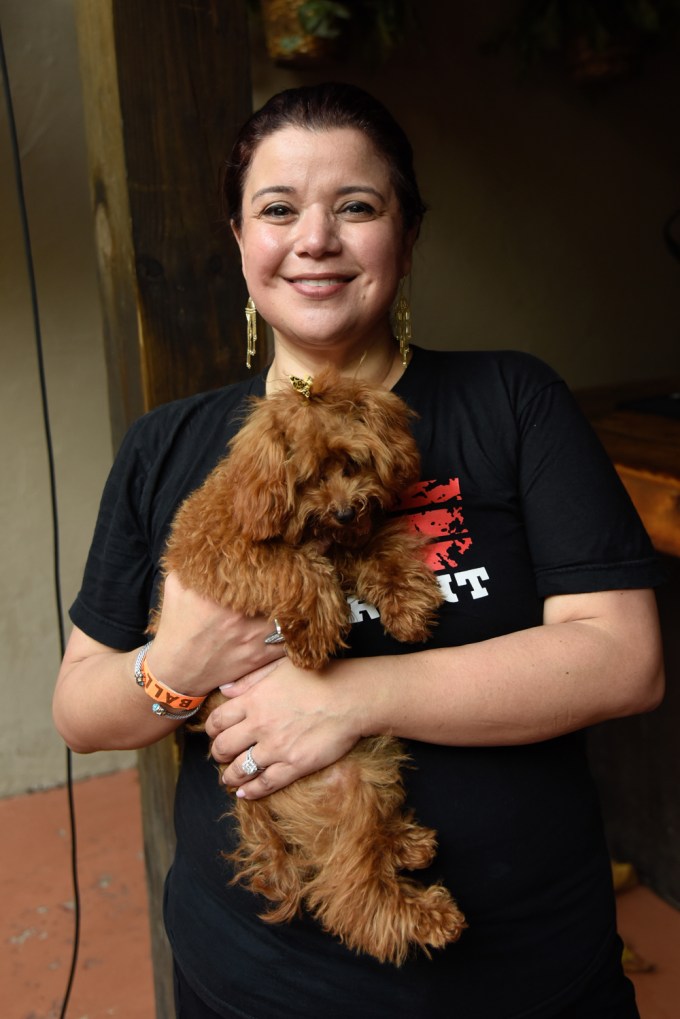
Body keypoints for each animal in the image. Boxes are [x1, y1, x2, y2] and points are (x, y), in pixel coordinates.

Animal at [160, 366, 468, 961]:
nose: (346, 509)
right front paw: (316, 633)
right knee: (353, 895)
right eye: (306, 479)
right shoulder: (219, 551)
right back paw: (427, 918)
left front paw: (408, 607)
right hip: (343, 794)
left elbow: (376, 550)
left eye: (353, 463)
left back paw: (410, 843)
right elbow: (292, 566)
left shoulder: (348, 541)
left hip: (374, 767)